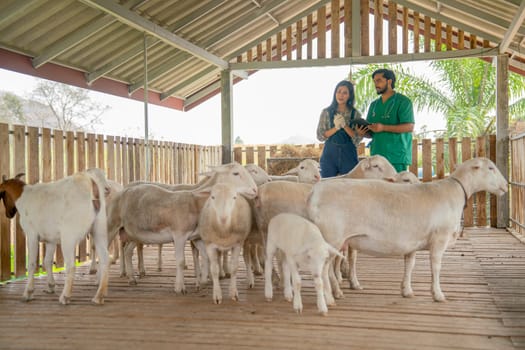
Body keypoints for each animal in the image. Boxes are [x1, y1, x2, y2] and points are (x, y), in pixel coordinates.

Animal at [0, 170, 109, 304]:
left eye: (2, 195)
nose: (8, 214)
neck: (23, 197)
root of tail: (90, 183)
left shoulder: (31, 234)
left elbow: (32, 263)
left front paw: (28, 293)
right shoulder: (50, 240)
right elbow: (47, 261)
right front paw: (50, 286)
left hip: (69, 236)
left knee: (71, 265)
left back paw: (65, 296)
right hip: (100, 229)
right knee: (105, 259)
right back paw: (99, 296)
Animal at [308, 157, 508, 302]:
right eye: (491, 168)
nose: (506, 186)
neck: (456, 192)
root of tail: (314, 194)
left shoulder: (412, 242)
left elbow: (409, 265)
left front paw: (407, 291)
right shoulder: (439, 239)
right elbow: (436, 267)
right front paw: (438, 294)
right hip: (332, 237)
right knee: (323, 268)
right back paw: (329, 296)